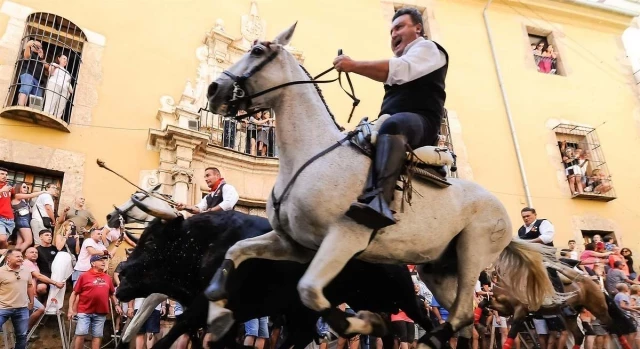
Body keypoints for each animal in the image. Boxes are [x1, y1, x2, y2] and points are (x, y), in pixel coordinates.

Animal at [117, 209, 432, 348]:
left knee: (424, 317)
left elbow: (177, 328)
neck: (205, 242)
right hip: (349, 302)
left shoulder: (205, 305)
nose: (120, 270)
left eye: (151, 241)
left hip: (401, 293)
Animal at [204, 23, 556, 346]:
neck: (310, 156)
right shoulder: (294, 245)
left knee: (458, 315)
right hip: (438, 268)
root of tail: (501, 211)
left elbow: (310, 292)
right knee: (466, 317)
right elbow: (236, 251)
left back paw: (427, 338)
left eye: (257, 52)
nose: (213, 89)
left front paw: (366, 323)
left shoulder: (344, 238)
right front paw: (218, 310)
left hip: (472, 252)